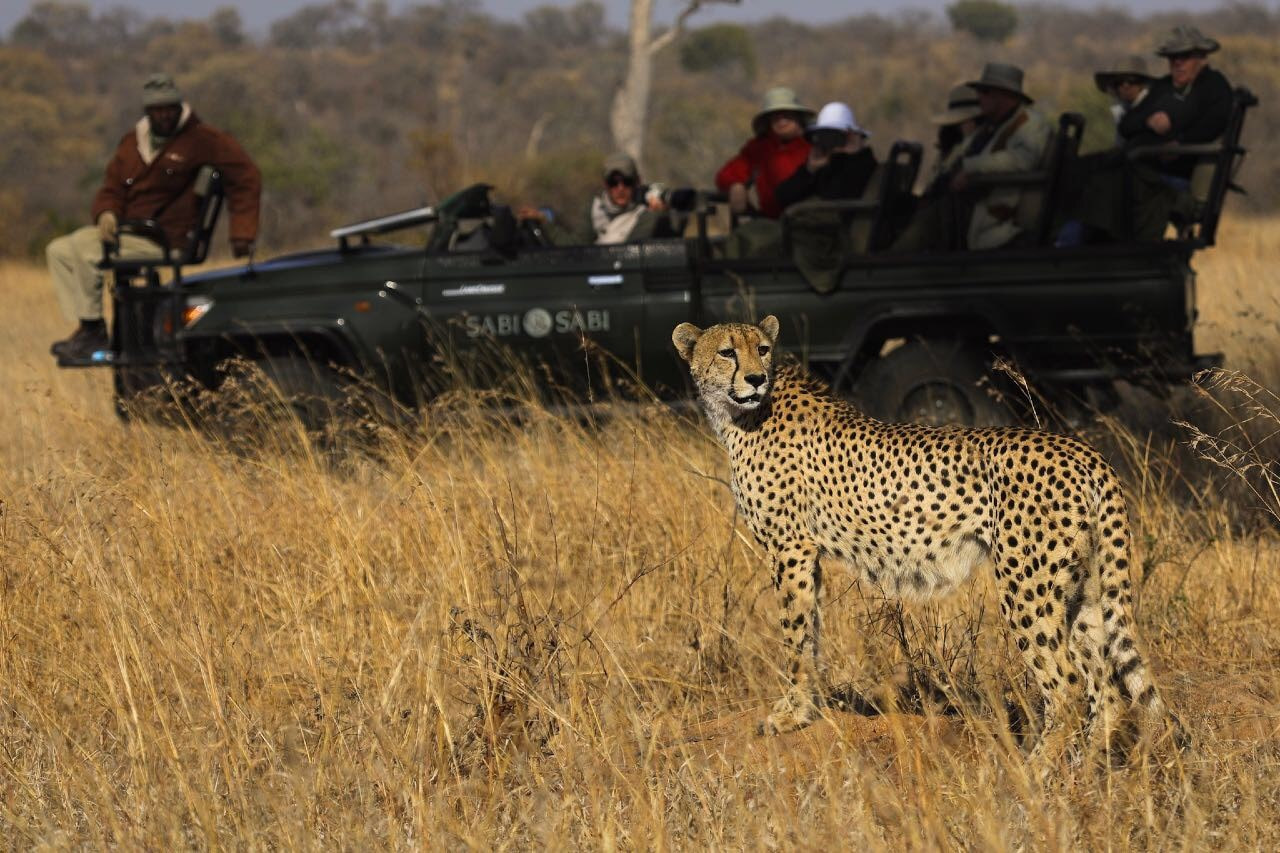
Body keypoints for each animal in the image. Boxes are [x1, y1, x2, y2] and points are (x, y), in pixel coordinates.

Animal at [672, 315, 1184, 759]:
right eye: (726, 352)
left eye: (761, 349)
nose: (756, 378)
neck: (744, 414)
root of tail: (1084, 451)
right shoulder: (807, 552)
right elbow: (811, 632)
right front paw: (809, 708)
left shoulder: (791, 548)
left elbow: (795, 636)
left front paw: (790, 715)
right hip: (1081, 586)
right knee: (1106, 688)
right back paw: (1083, 777)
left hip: (1027, 587)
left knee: (1069, 688)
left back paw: (1036, 777)